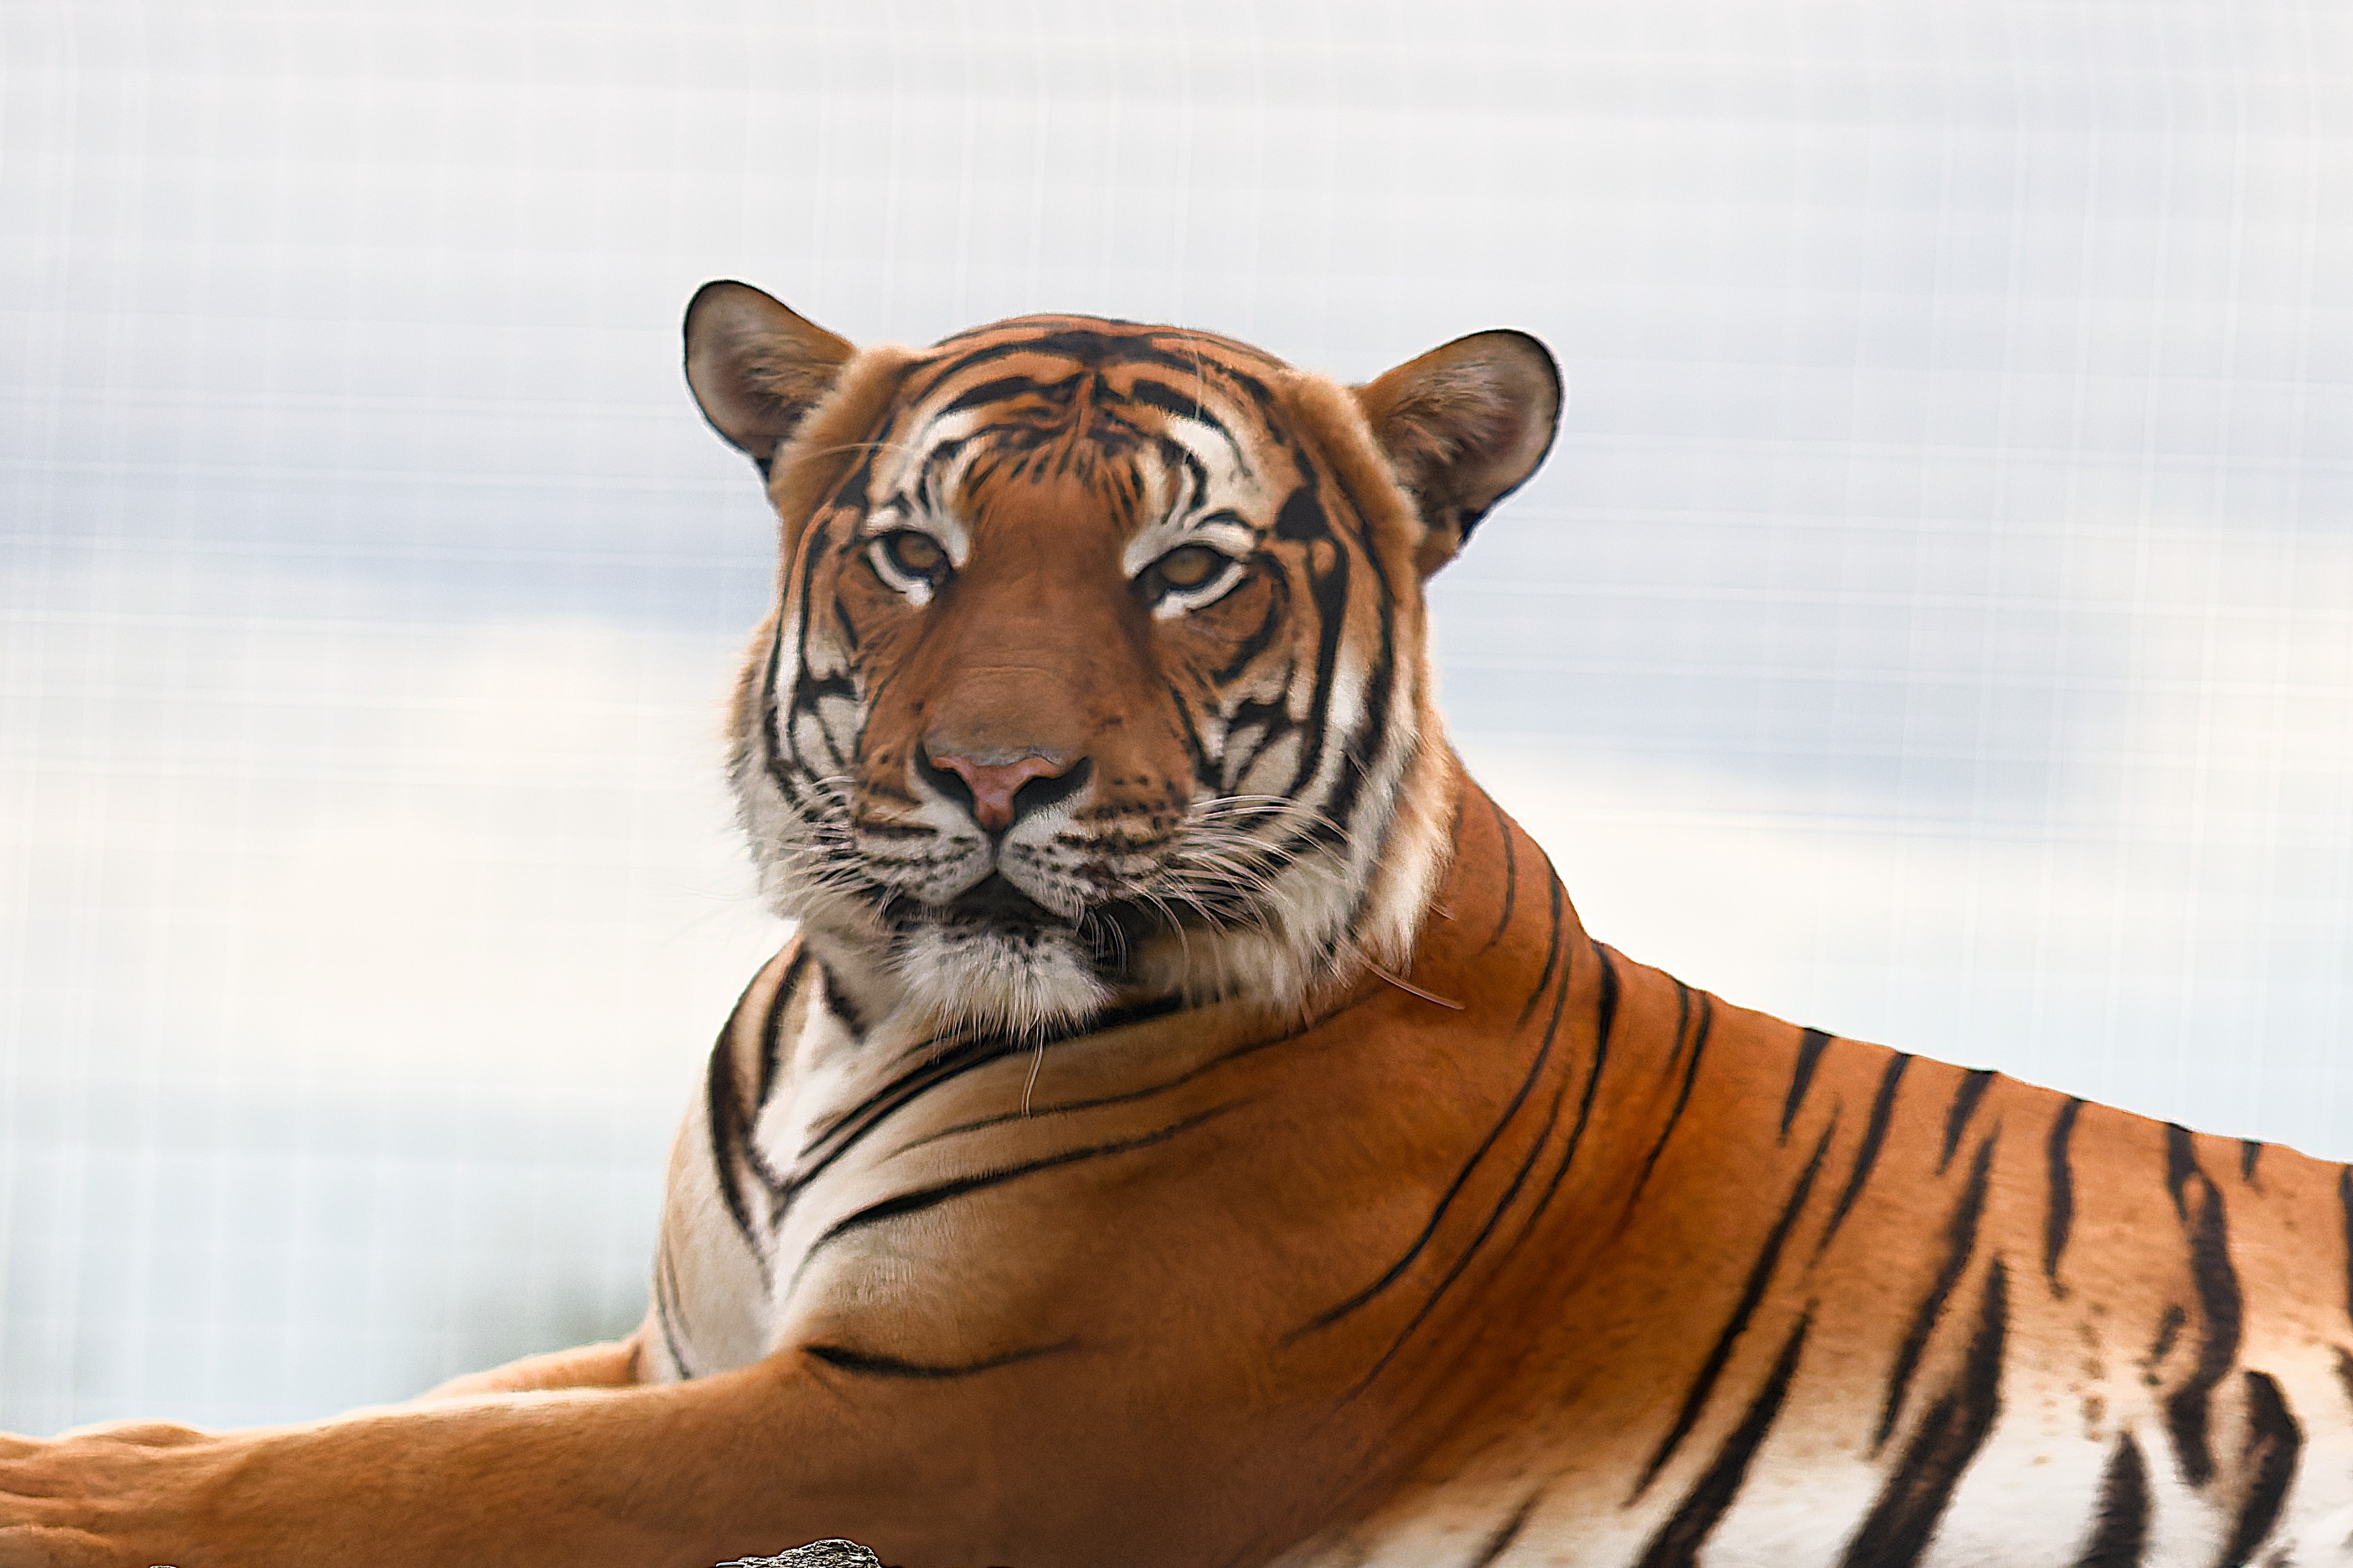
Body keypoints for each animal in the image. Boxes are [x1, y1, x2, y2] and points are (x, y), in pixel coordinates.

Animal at [4, 280, 2351, 1568]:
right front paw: (81, 1444)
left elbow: (411, 1475)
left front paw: (53, 1500)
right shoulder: (696, 1346)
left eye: (1185, 569)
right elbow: (345, 1419)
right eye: (917, 551)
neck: (858, 1004)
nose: (994, 779)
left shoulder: (942, 1419)